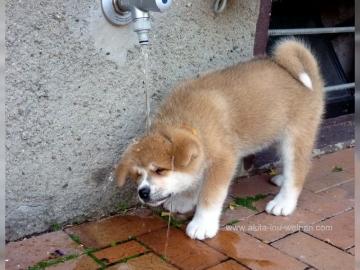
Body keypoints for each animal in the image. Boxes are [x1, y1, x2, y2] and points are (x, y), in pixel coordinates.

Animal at [115, 39, 324, 239]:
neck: (190, 120)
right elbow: (194, 181)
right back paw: (281, 178)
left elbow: (210, 195)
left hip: (295, 137)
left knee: (298, 170)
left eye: (160, 170)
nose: (142, 192)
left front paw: (202, 224)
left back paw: (284, 202)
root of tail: (311, 72)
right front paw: (185, 200)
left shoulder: (223, 161)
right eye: (137, 175)